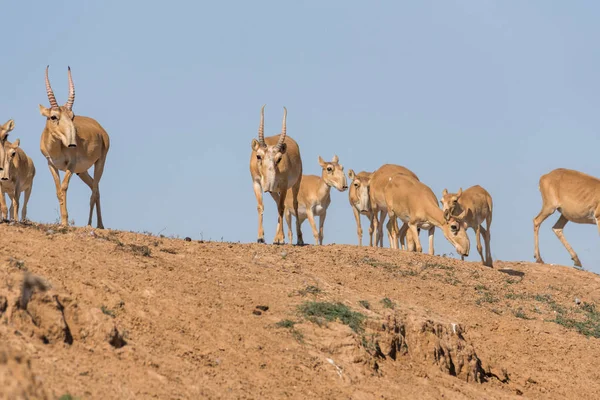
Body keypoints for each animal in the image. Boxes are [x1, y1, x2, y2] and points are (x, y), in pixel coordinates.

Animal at [38, 66, 110, 228]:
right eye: (53, 117)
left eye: (72, 116)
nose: (72, 143)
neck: (56, 149)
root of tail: (100, 129)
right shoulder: (51, 165)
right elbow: (58, 190)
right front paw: (63, 221)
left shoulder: (70, 165)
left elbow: (64, 187)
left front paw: (65, 222)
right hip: (82, 171)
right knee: (95, 188)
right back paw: (98, 224)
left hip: (99, 163)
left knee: (95, 190)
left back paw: (93, 225)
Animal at [250, 104, 304, 245]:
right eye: (258, 156)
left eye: (279, 158)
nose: (268, 185)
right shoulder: (256, 183)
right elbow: (260, 206)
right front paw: (260, 237)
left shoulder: (284, 186)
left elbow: (281, 207)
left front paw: (280, 239)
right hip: (274, 191)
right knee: (280, 204)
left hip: (295, 183)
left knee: (293, 204)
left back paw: (299, 239)